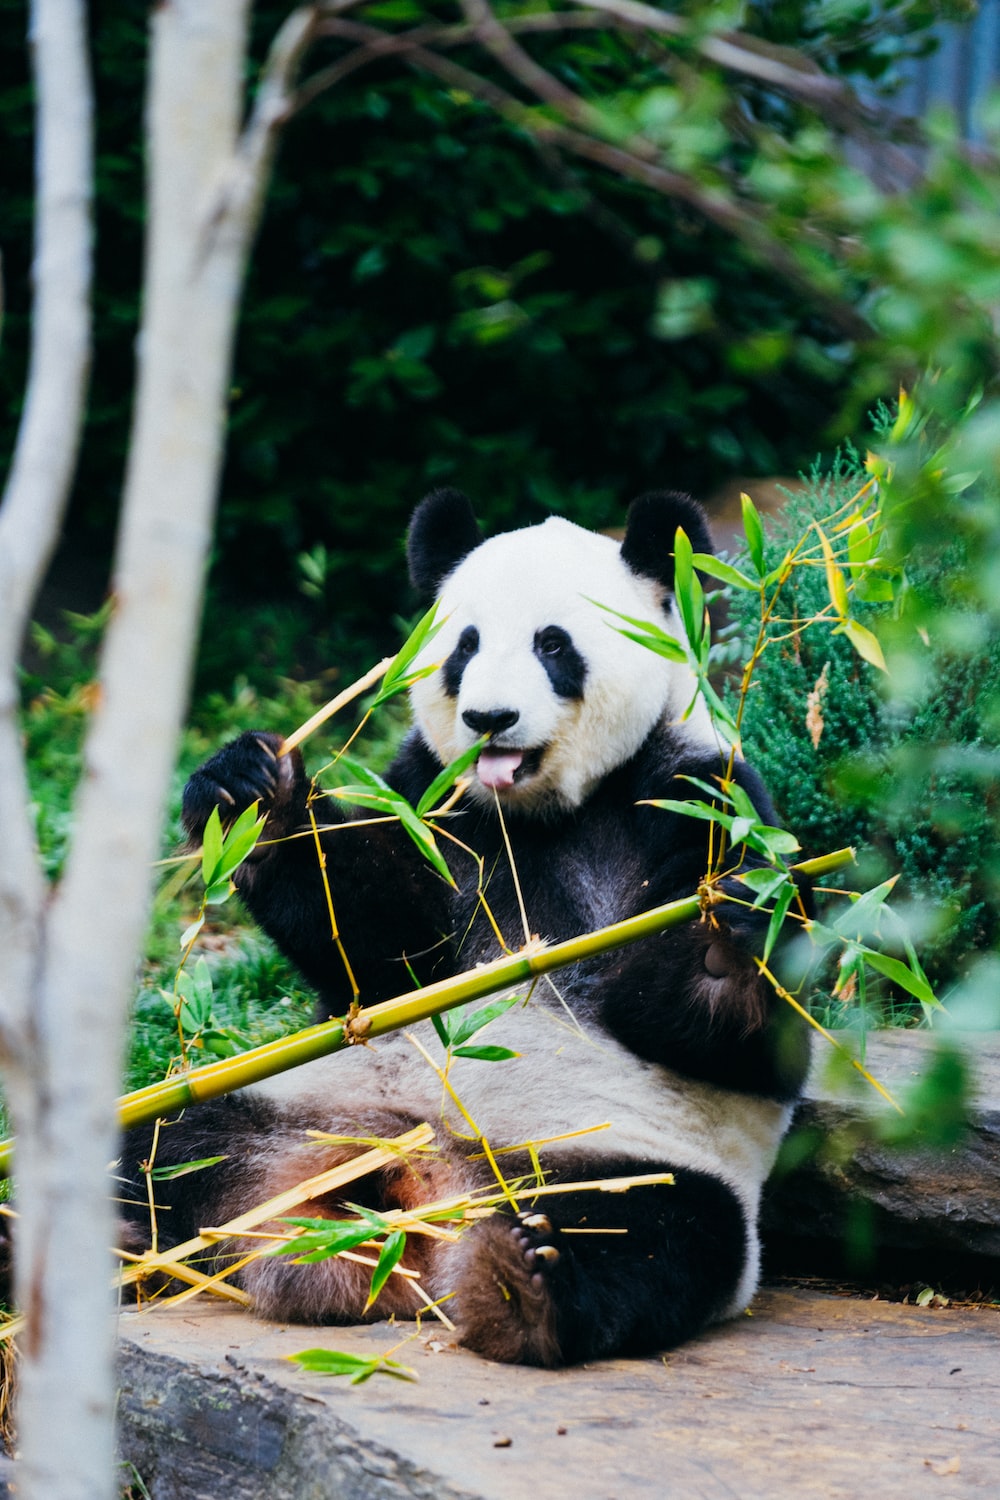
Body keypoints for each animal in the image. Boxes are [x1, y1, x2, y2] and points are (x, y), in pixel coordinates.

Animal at [124, 488, 809, 1368]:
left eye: (553, 644)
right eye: (466, 645)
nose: (489, 718)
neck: (539, 812)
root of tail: (412, 1196)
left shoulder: (699, 792)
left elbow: (745, 1035)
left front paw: (722, 932)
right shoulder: (435, 801)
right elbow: (382, 948)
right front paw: (252, 792)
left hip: (623, 1161)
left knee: (657, 1233)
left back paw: (527, 1281)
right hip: (282, 1107)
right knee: (162, 1153)